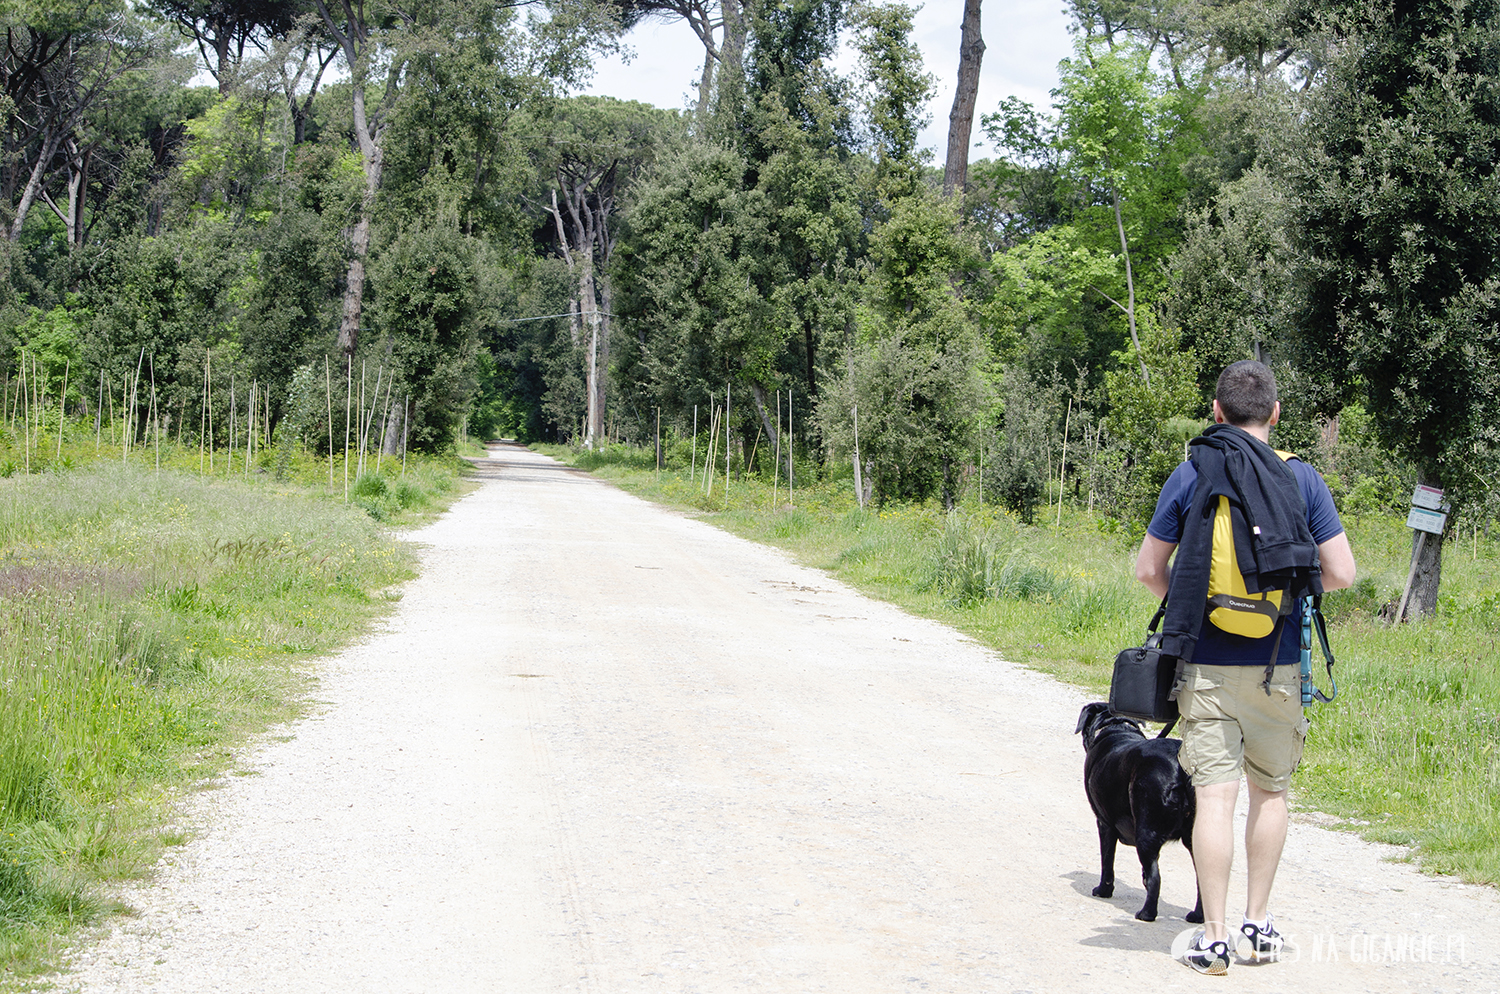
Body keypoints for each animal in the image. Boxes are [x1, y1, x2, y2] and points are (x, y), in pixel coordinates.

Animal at [1080, 698, 1206, 923]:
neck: (1115, 726)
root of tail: (1180, 768)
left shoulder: (1104, 823)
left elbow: (1107, 862)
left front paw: (1103, 890)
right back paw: (1197, 916)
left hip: (1146, 833)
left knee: (1156, 878)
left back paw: (1146, 913)